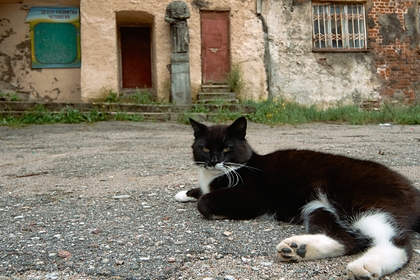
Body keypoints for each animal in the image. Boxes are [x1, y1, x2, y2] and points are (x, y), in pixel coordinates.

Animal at [176, 116, 420, 280]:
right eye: (205, 149)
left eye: (227, 148)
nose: (213, 161)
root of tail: (411, 187)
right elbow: (202, 191)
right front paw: (185, 193)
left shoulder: (253, 197)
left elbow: (205, 201)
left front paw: (212, 210)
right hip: (319, 208)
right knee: (349, 239)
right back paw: (299, 248)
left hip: (361, 200)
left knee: (398, 241)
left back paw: (367, 265)